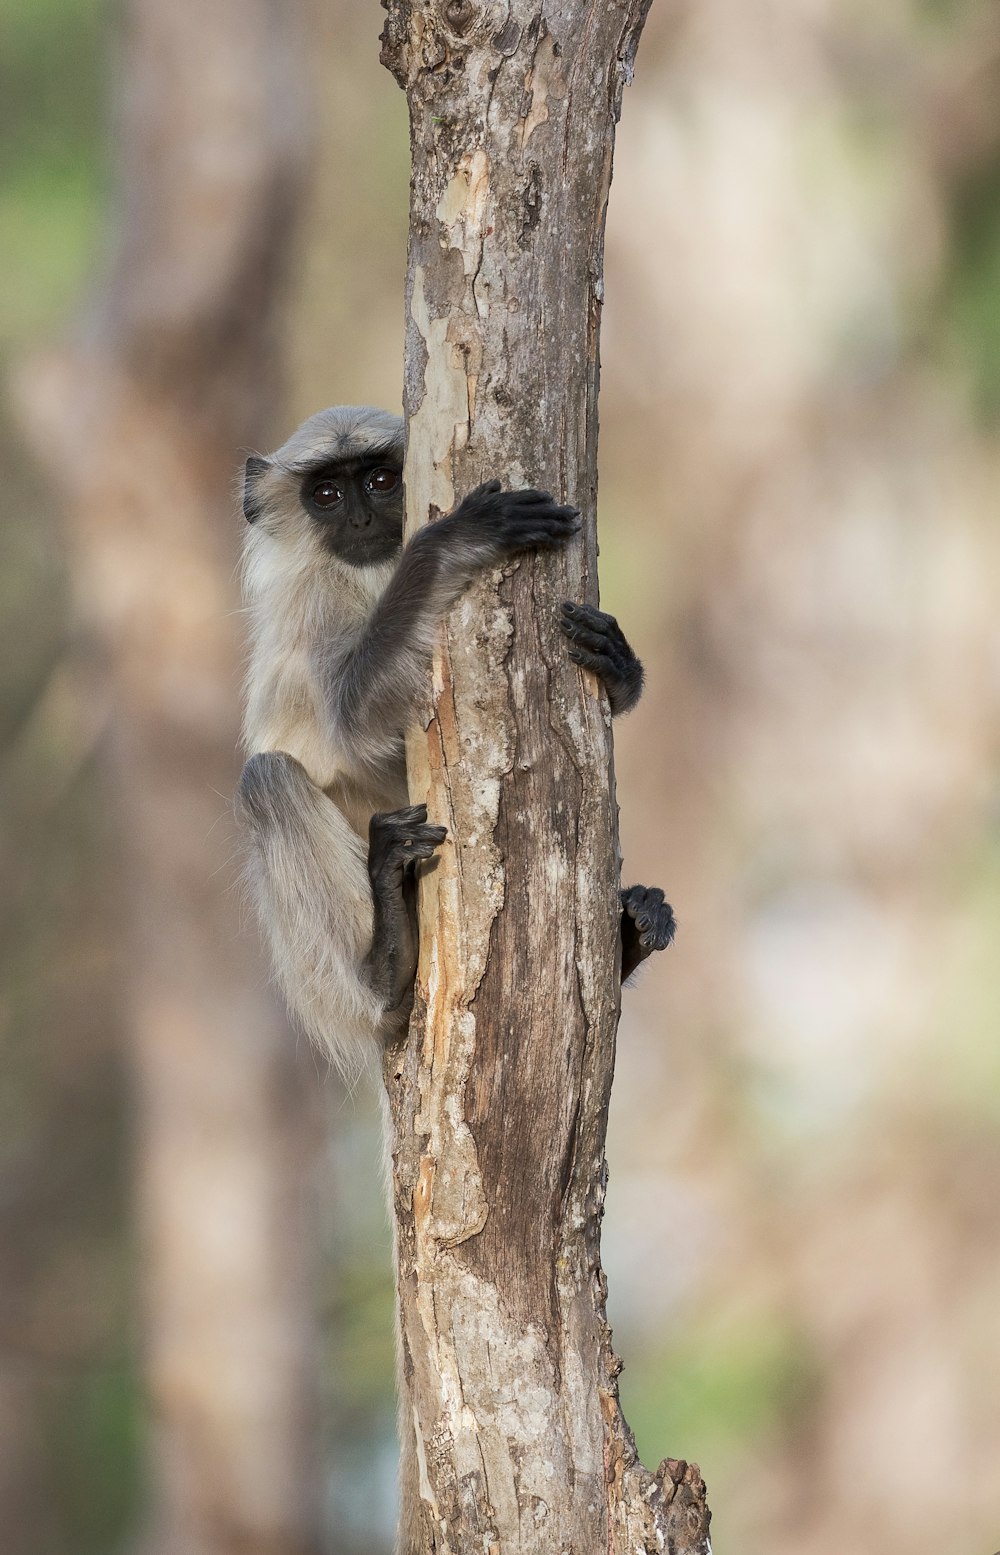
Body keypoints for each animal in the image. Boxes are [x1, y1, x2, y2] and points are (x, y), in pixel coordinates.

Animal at [236, 404, 671, 1069]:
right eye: (327, 494)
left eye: (381, 481)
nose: (360, 518)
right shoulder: (313, 603)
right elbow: (353, 723)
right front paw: (455, 540)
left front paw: (619, 663)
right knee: (266, 779)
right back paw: (385, 971)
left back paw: (630, 934)